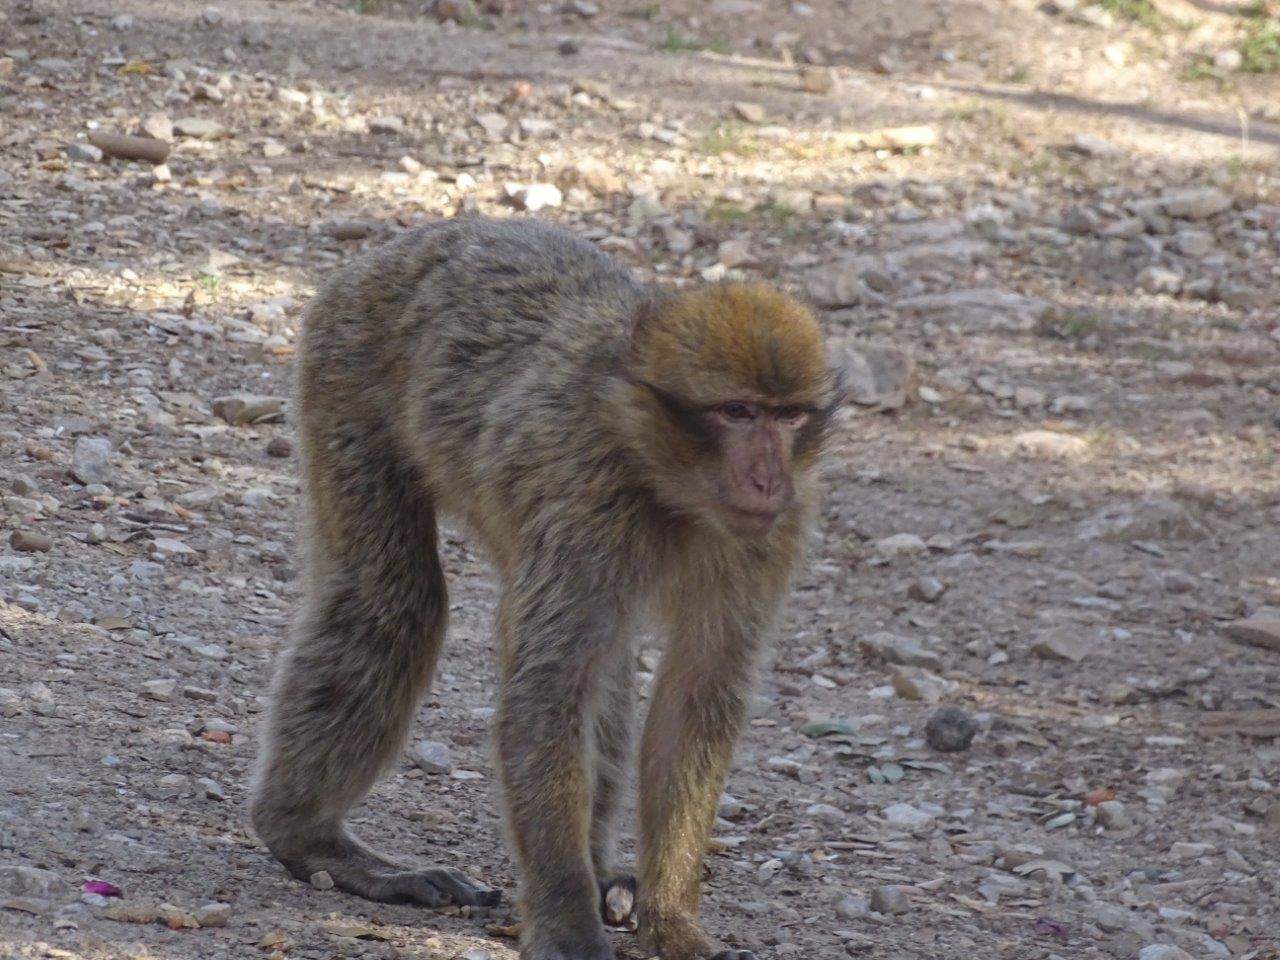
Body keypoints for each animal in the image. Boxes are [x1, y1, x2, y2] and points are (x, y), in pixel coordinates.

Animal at [250, 217, 838, 960]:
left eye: (787, 416)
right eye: (736, 412)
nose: (767, 478)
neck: (663, 476)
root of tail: (417, 239)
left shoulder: (771, 533)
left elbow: (696, 691)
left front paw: (672, 919)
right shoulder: (585, 492)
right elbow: (549, 690)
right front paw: (566, 924)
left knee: (607, 662)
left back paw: (602, 871)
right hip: (344, 363)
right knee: (394, 600)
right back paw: (308, 837)